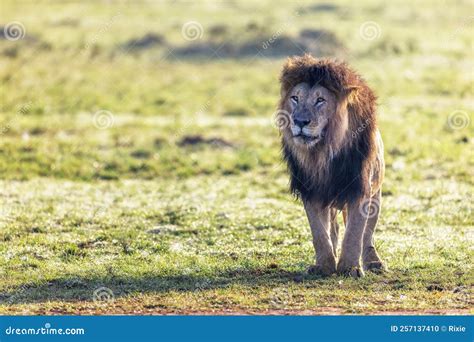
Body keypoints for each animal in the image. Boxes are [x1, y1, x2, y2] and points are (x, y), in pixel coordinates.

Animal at [278, 54, 386, 278]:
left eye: (320, 100)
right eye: (295, 98)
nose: (300, 121)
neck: (322, 152)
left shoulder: (359, 189)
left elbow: (355, 232)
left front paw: (350, 268)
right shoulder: (310, 191)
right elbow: (319, 232)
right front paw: (324, 266)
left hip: (376, 195)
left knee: (368, 235)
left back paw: (373, 262)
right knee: (334, 229)